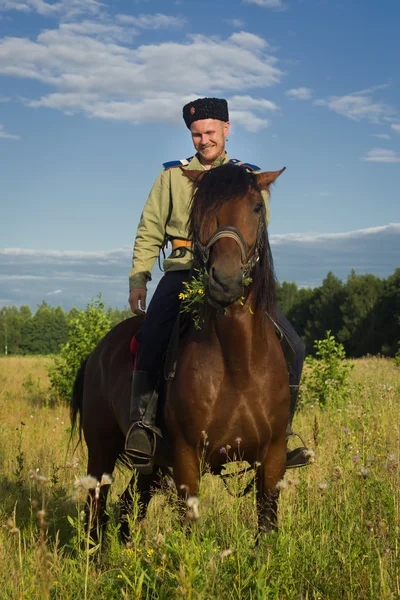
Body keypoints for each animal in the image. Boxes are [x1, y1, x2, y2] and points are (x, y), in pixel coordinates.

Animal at [71, 163, 288, 540]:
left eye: (257, 209)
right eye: (200, 209)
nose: (225, 281)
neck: (239, 363)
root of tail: (97, 352)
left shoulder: (272, 459)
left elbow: (266, 527)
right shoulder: (187, 459)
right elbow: (191, 531)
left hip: (153, 468)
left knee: (127, 505)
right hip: (102, 451)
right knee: (96, 508)